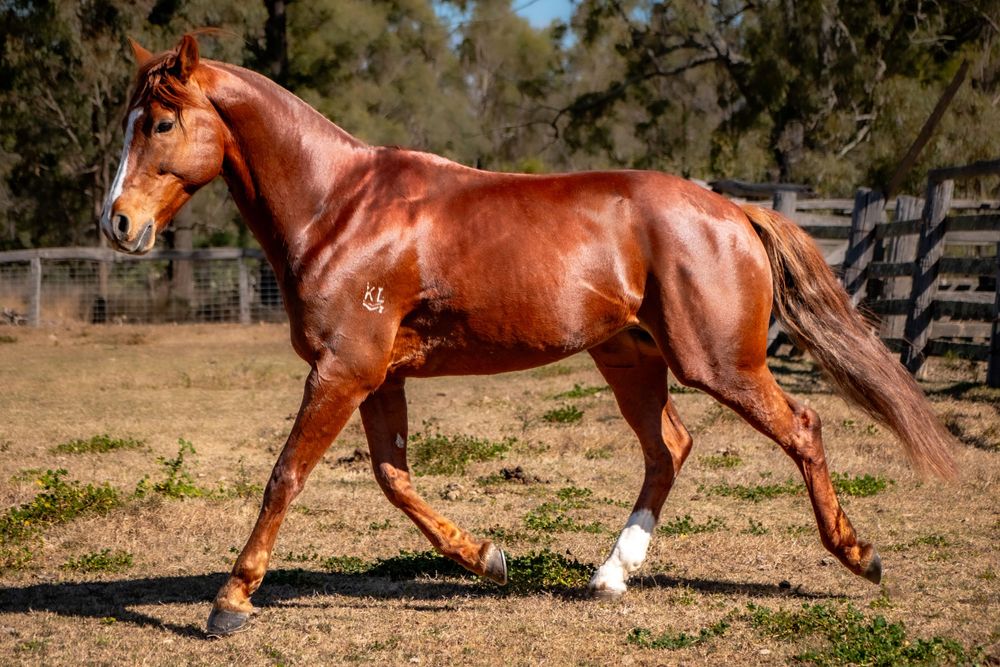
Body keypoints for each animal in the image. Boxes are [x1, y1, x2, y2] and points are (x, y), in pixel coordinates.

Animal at [101, 34, 956, 637]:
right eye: (128, 124)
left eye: (163, 122)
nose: (118, 224)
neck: (340, 207)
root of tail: (732, 210)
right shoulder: (379, 375)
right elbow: (394, 478)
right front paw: (489, 558)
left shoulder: (343, 369)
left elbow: (286, 476)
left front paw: (229, 600)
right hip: (631, 359)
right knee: (669, 448)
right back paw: (611, 573)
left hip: (718, 362)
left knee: (802, 428)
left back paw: (860, 555)